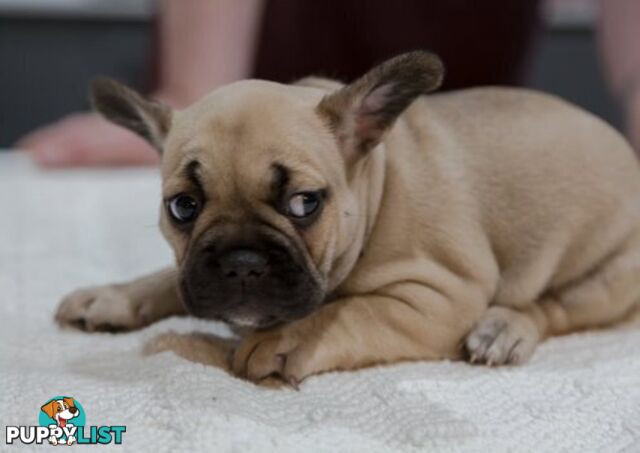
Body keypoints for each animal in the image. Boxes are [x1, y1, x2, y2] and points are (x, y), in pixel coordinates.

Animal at [55, 52, 640, 384]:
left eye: (304, 203)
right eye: (183, 206)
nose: (242, 260)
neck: (376, 189)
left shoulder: (440, 295)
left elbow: (352, 311)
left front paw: (281, 339)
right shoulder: (192, 270)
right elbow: (171, 279)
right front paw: (114, 295)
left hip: (605, 277)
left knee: (551, 309)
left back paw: (504, 329)